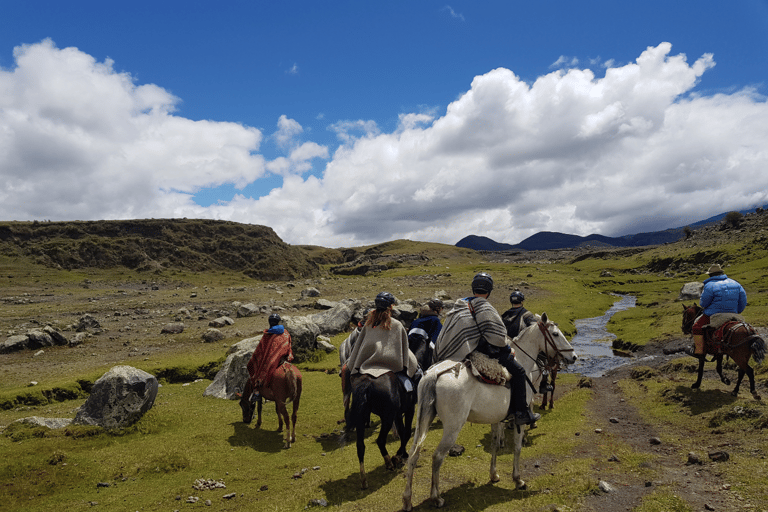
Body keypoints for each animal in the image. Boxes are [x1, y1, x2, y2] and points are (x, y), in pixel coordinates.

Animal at [402, 314, 576, 510]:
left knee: (414, 454)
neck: (524, 364)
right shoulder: (519, 420)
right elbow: (517, 447)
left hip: (423, 420)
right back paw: (436, 497)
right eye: (555, 334)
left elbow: (494, 445)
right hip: (453, 427)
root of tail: (435, 374)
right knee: (437, 456)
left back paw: (407, 500)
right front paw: (518, 480)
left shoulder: (497, 419)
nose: (573, 356)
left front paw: (494, 475)